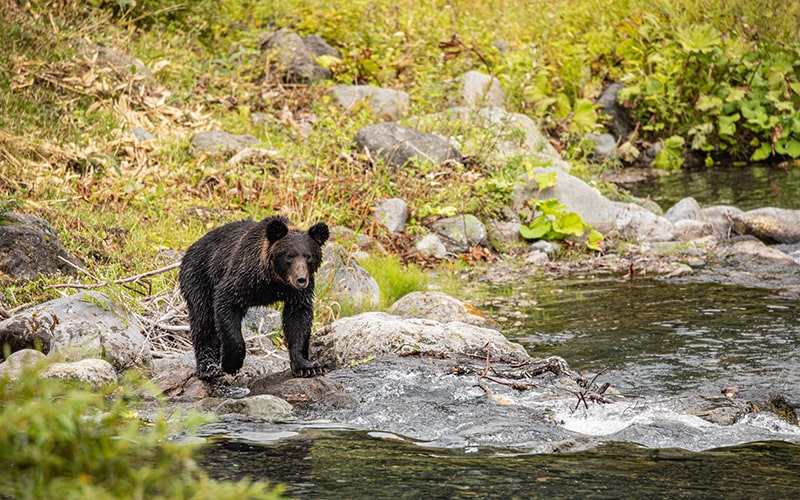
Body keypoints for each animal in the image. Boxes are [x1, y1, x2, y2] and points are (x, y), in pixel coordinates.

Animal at [180, 215, 330, 378]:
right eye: (289, 255)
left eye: (309, 256)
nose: (301, 279)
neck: (274, 280)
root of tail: (192, 246)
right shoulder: (244, 277)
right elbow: (226, 301)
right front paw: (231, 364)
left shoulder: (297, 293)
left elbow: (298, 319)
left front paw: (308, 367)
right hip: (199, 276)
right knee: (203, 320)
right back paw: (208, 367)